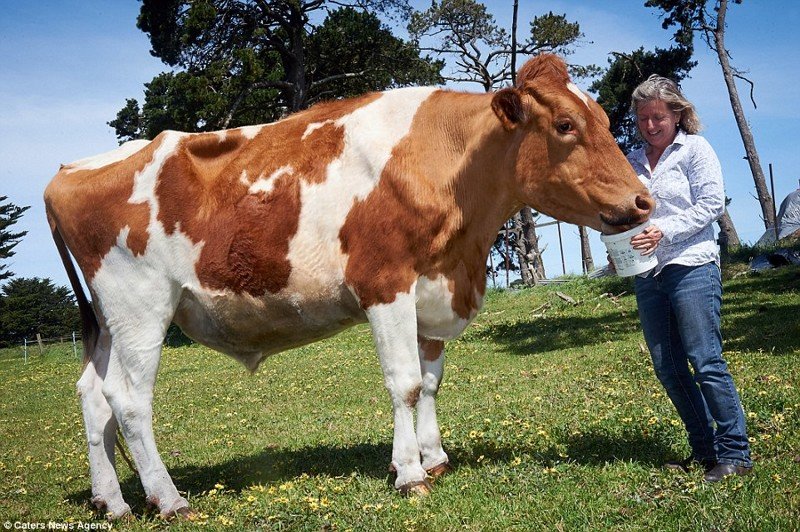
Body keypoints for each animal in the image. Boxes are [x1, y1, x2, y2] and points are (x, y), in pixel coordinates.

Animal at [44, 55, 653, 518]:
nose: (643, 201)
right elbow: (404, 383)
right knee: (129, 401)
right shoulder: (384, 282)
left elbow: (430, 383)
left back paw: (113, 503)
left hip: (109, 319)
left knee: (93, 397)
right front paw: (410, 474)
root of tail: (69, 170)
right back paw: (169, 501)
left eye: (603, 117)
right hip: (140, 305)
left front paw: (435, 458)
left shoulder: (433, 290)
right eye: (565, 125)